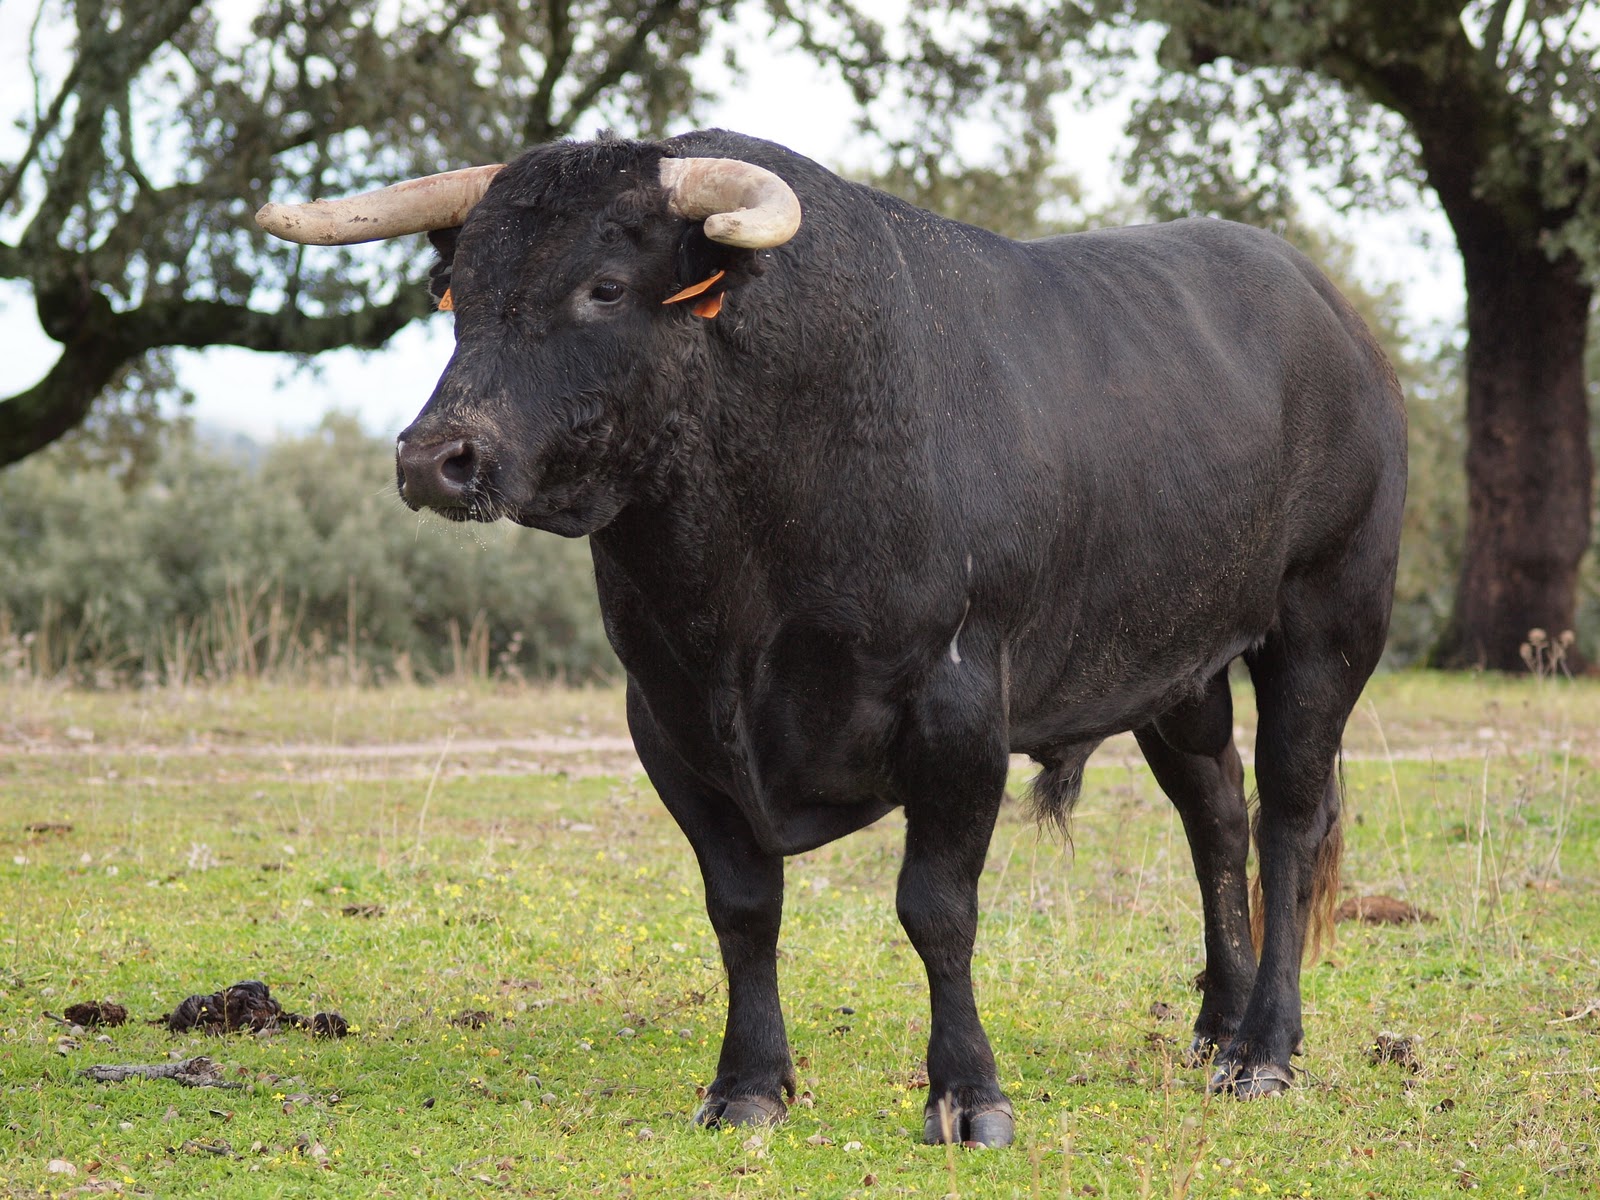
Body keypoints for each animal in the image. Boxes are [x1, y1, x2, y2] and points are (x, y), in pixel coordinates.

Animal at [257, 128, 1406, 1147]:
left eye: (604, 288)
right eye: (462, 291)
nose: (434, 457)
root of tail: (1331, 312)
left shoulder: (955, 707)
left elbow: (936, 909)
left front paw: (968, 1097)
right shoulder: (667, 719)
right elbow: (741, 907)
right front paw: (747, 1086)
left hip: (1327, 624)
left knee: (1288, 819)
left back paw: (1264, 1051)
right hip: (1179, 664)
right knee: (1214, 815)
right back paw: (1217, 1024)